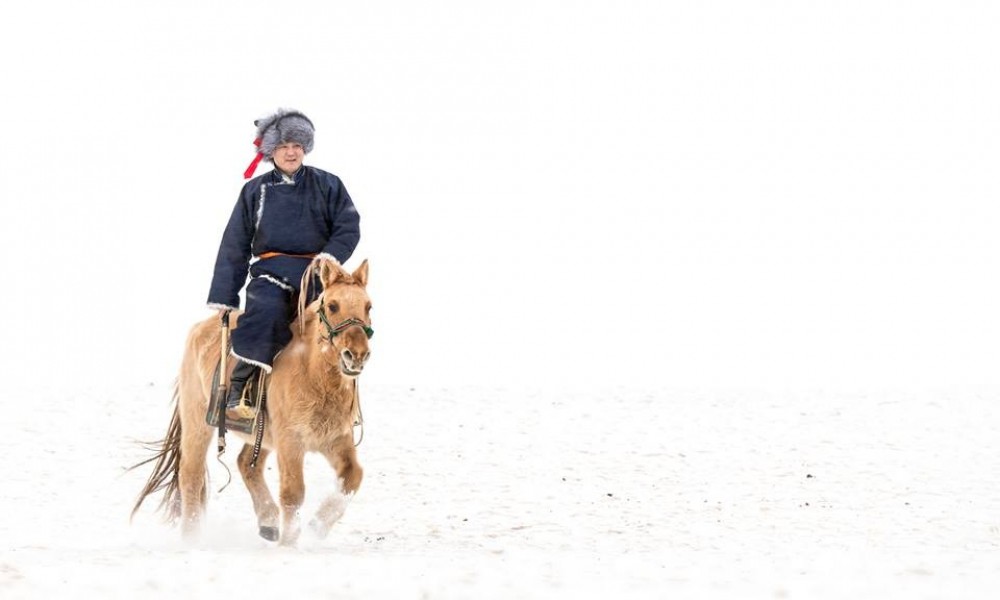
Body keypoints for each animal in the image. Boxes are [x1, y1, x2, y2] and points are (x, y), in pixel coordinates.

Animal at [129, 255, 372, 548]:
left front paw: (316, 527)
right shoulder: (291, 442)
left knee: (246, 464)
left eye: (368, 306)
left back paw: (268, 522)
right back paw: (192, 538)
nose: (356, 355)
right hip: (197, 423)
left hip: (260, 433)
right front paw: (289, 545)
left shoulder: (337, 439)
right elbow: (292, 494)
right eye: (333, 305)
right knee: (191, 475)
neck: (315, 375)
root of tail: (200, 327)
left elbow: (352, 477)